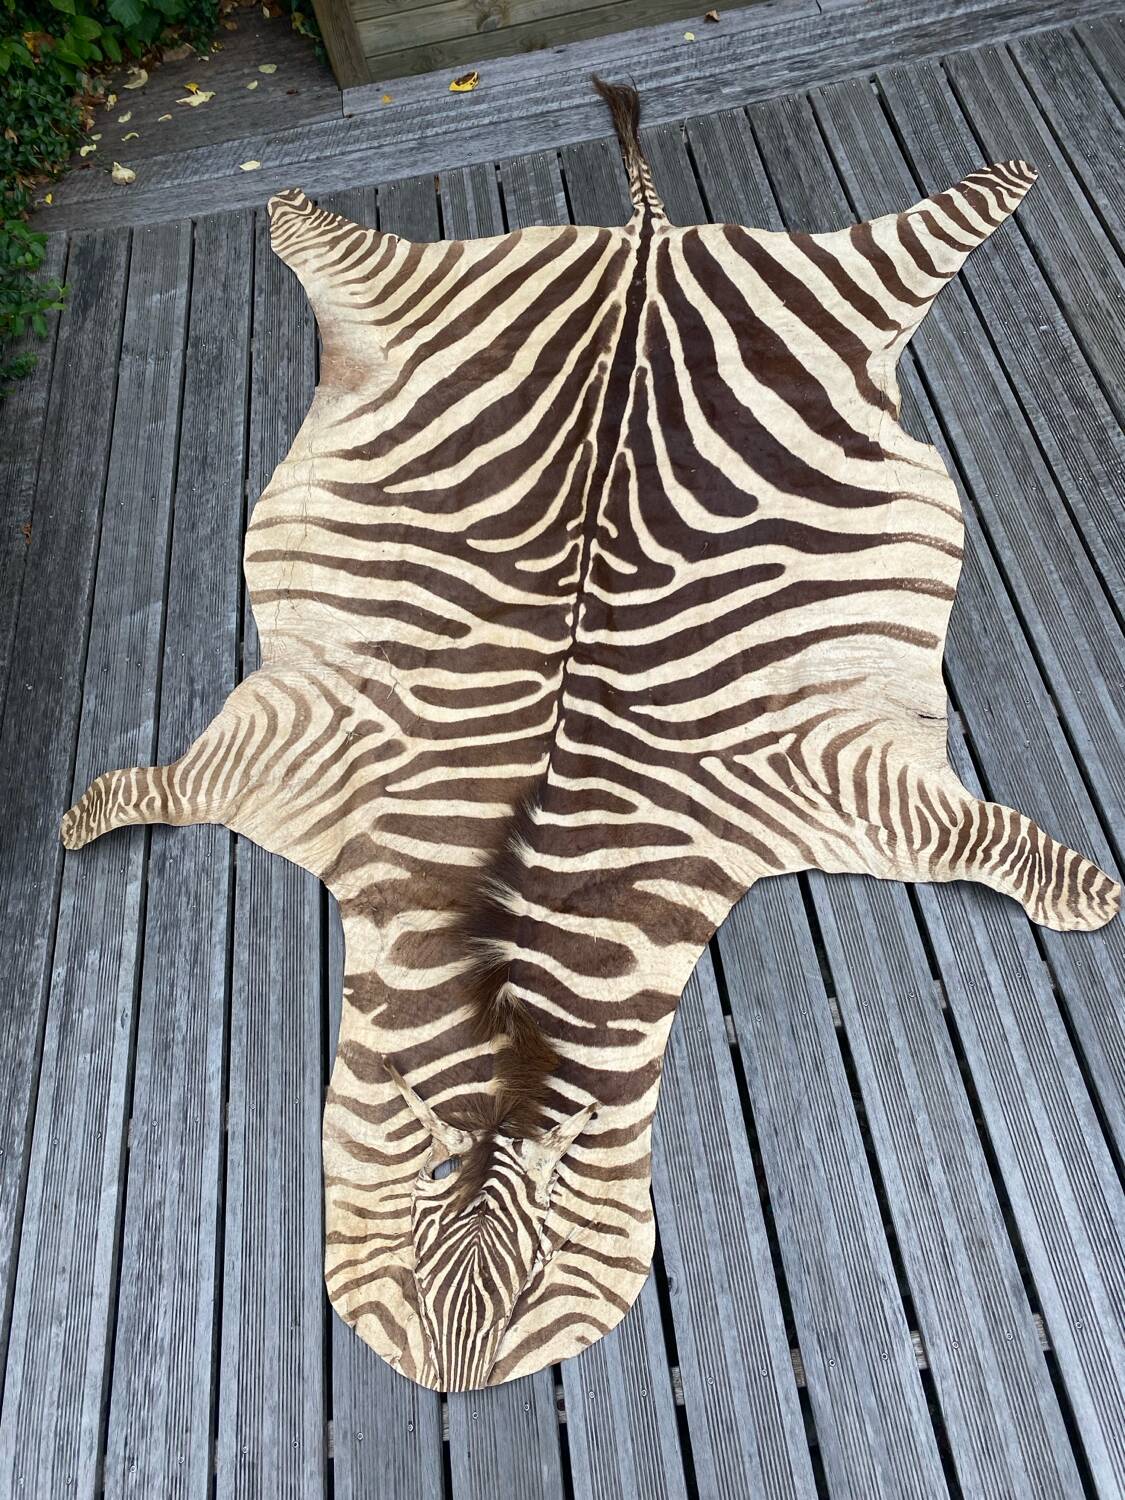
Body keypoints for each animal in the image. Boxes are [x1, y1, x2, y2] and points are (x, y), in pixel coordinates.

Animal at [61, 77, 1120, 1391]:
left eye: (533, 1297)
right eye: (403, 1271)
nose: (453, 1387)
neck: (509, 929)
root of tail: (645, 249)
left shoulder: (822, 780)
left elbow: (989, 841)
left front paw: (1089, 896)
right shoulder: (288, 756)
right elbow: (143, 785)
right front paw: (73, 821)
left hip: (855, 288)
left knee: (946, 218)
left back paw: (1005, 176)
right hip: (419, 299)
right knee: (325, 240)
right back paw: (287, 207)